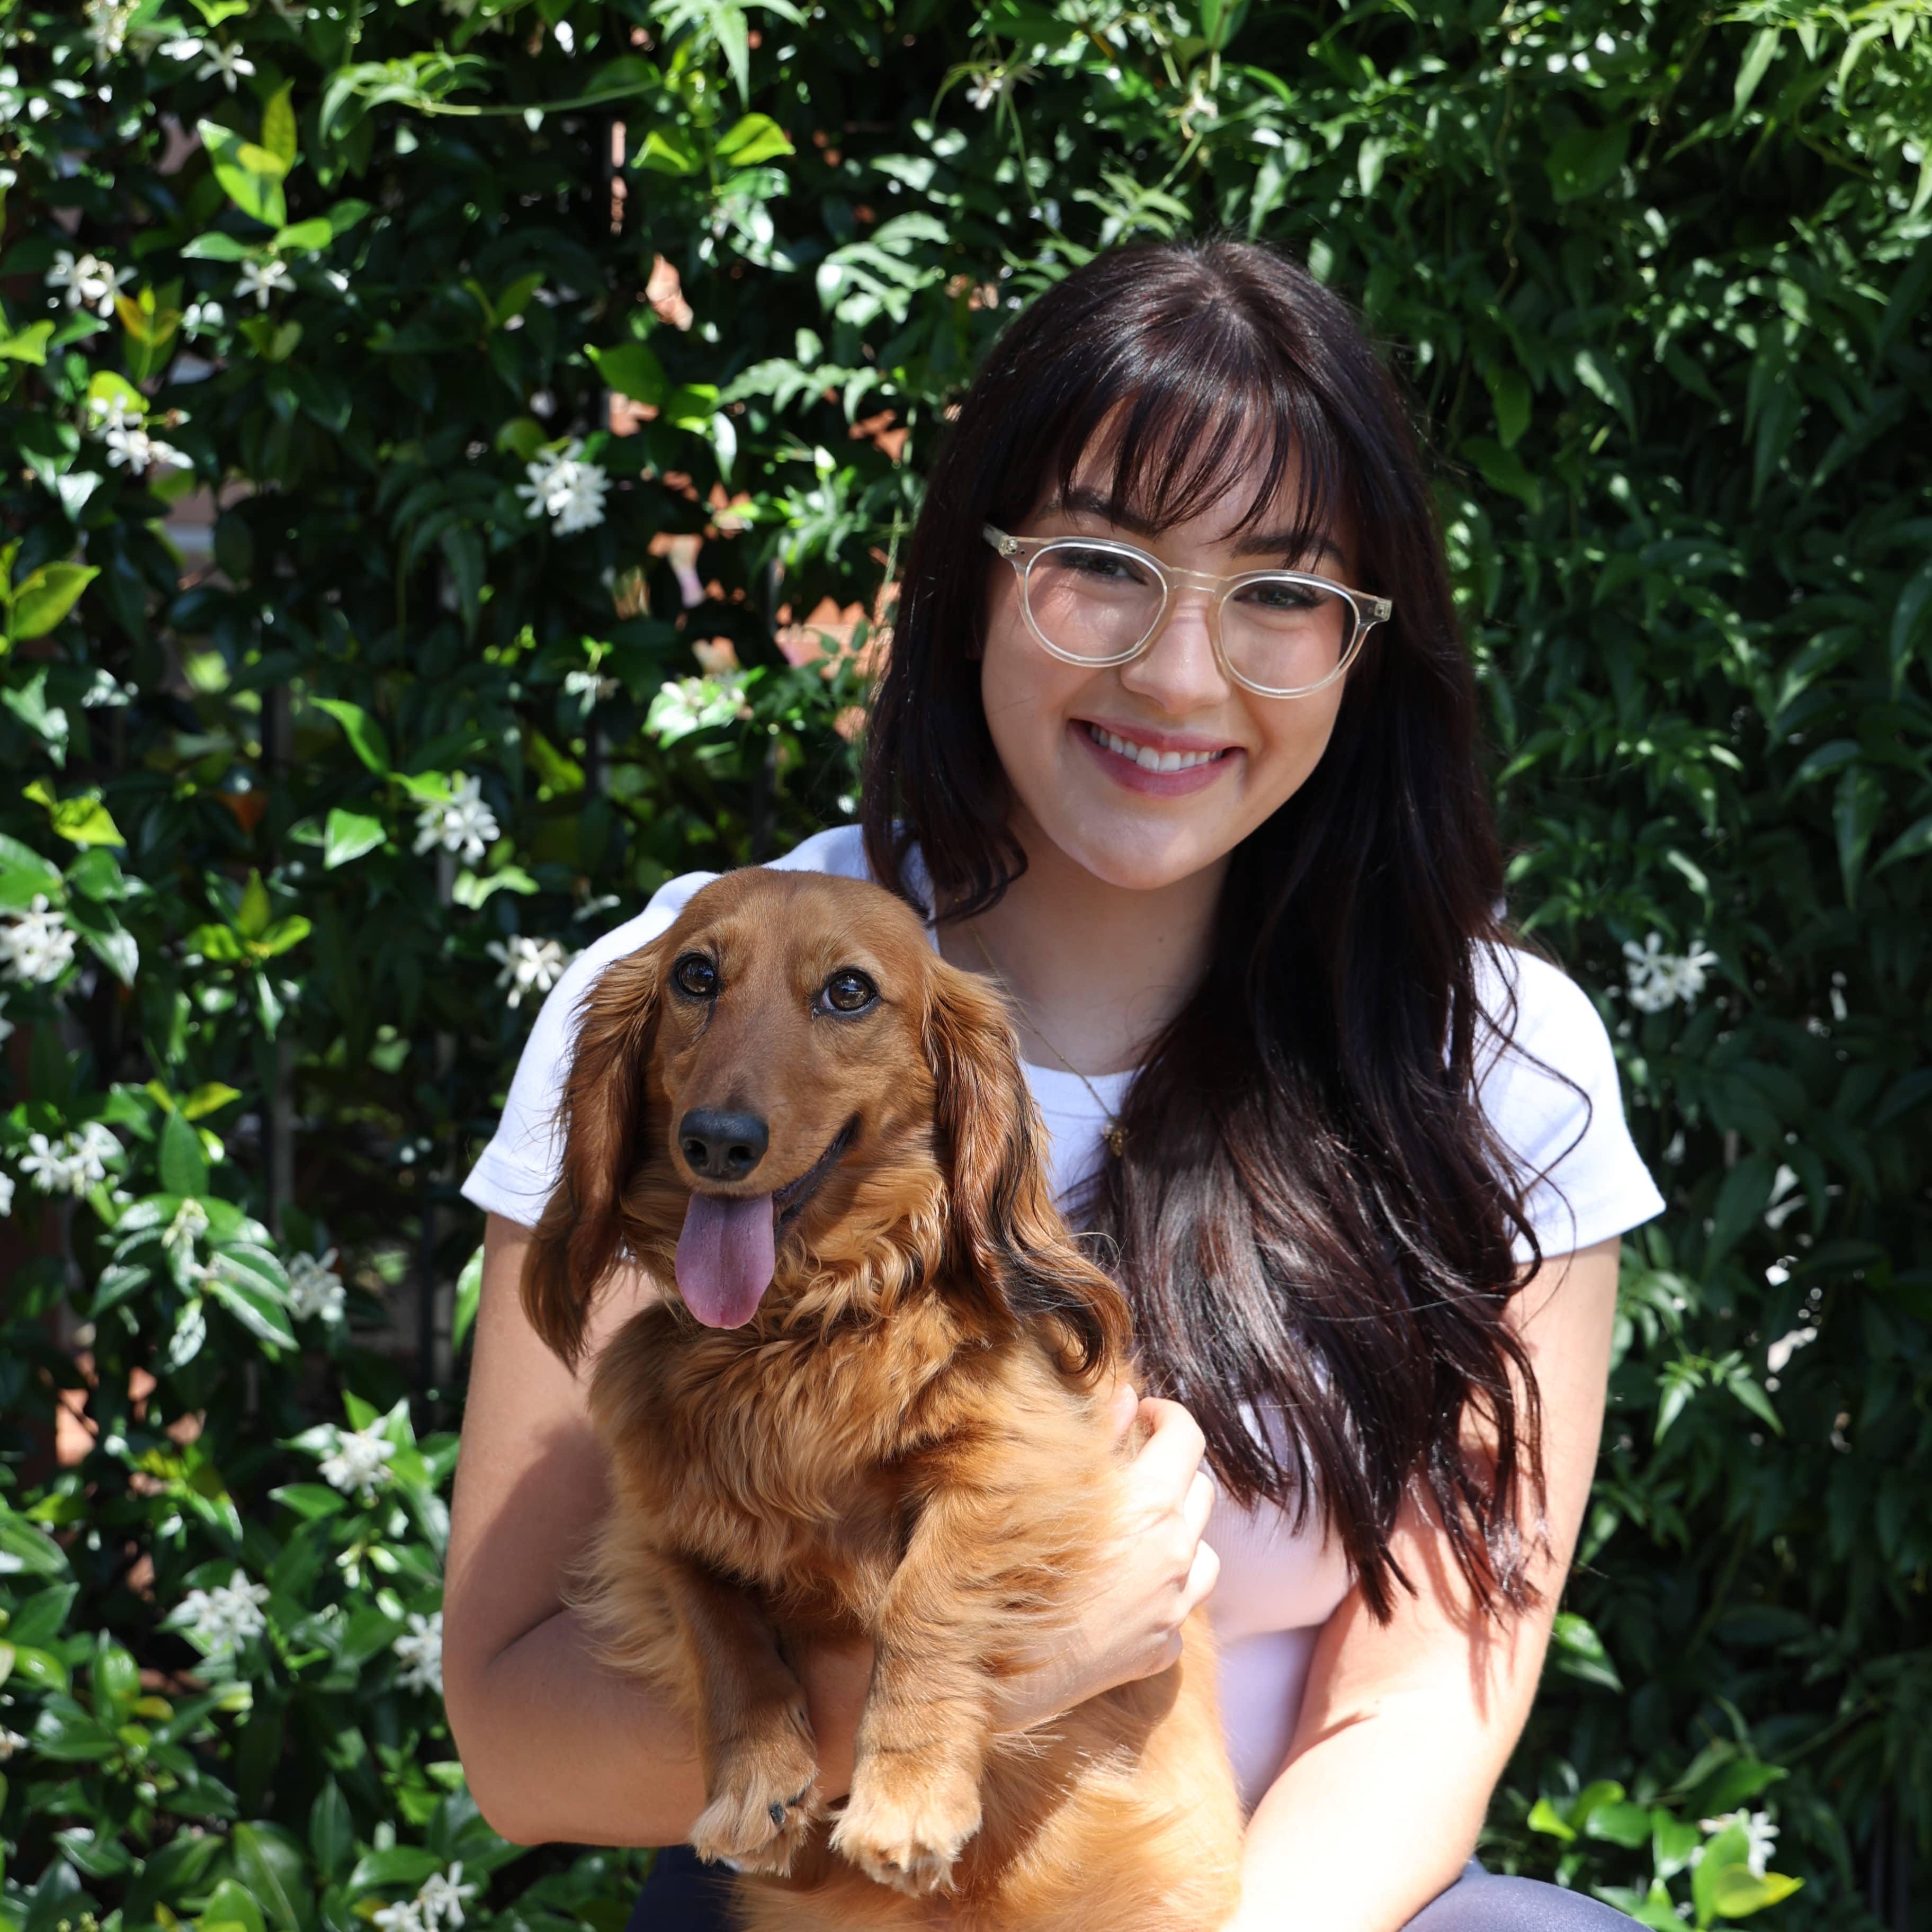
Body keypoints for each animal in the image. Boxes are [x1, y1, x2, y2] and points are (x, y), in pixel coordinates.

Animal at [523, 868, 1242, 1931]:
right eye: (695, 976)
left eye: (849, 992)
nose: (717, 1141)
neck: (799, 1332)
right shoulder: (659, 1521)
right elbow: (719, 1627)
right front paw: (755, 1784)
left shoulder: (1017, 1465)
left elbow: (923, 1604)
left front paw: (906, 1796)